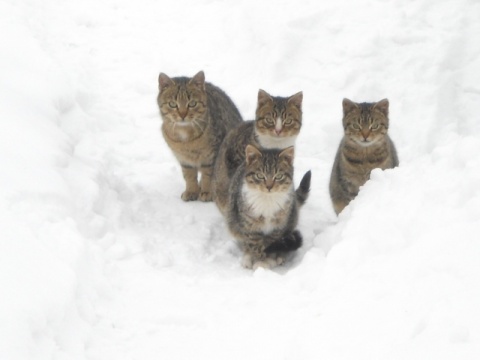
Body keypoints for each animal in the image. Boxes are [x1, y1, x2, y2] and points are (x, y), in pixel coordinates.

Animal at [158, 69, 244, 201]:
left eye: (192, 103)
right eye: (172, 104)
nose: (182, 115)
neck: (187, 138)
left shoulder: (212, 156)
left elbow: (208, 174)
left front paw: (207, 192)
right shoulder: (184, 159)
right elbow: (189, 176)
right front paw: (191, 191)